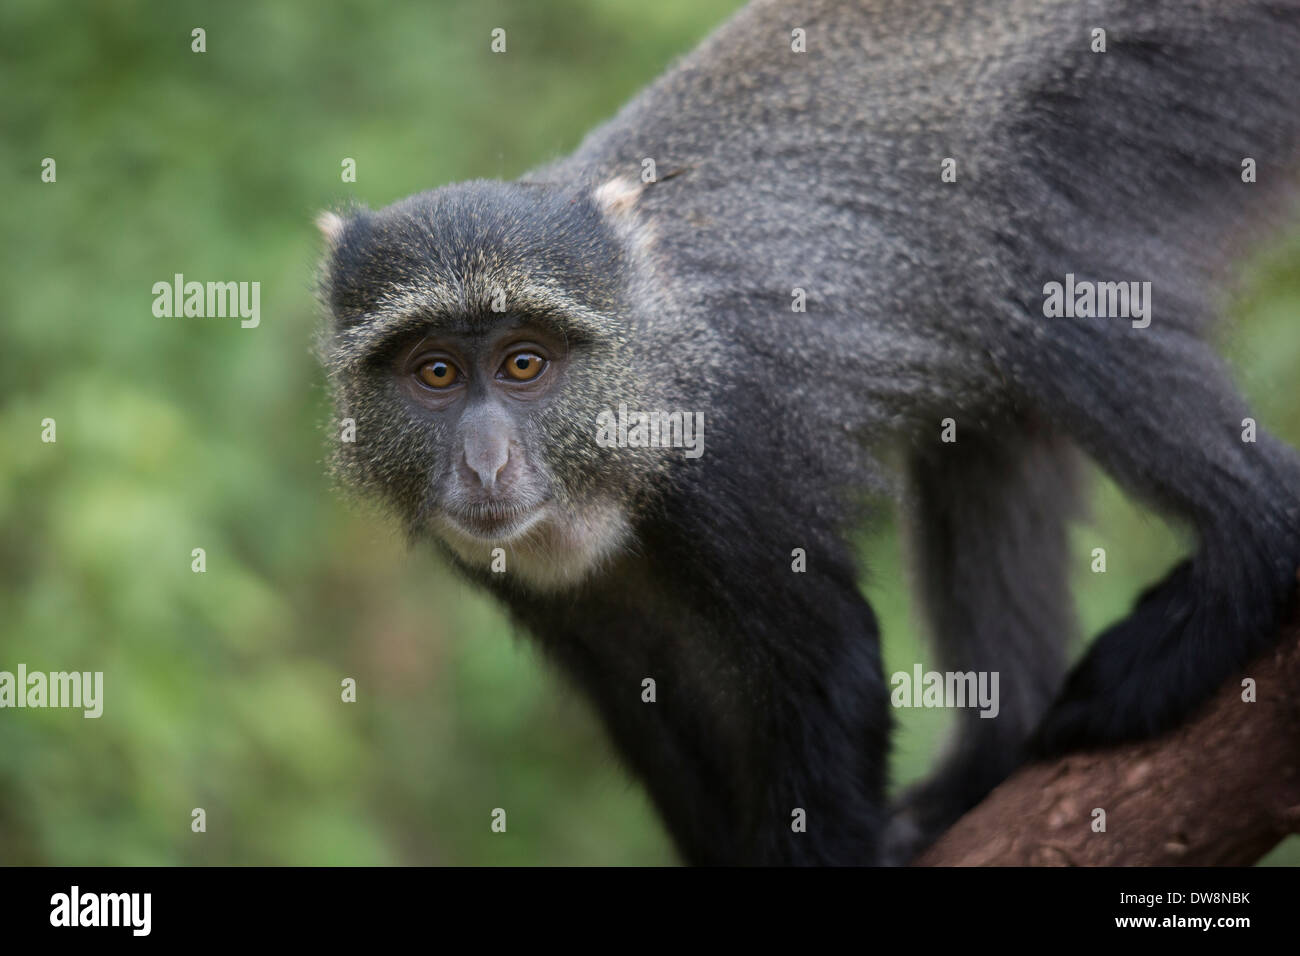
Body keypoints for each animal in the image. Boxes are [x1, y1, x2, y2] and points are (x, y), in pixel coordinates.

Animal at [314, 0, 1300, 868]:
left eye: (525, 364)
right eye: (436, 374)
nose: (485, 462)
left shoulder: (736, 462)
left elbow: (833, 670)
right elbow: (650, 711)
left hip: (1131, 98)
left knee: (1049, 310)